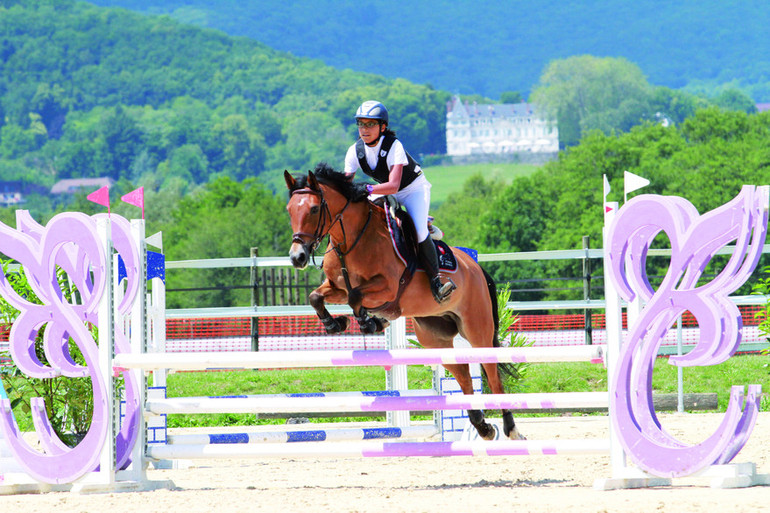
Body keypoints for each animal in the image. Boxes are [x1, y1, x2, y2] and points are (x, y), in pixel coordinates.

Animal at [284, 164, 524, 440]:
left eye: (314, 209)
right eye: (290, 209)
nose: (298, 257)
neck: (353, 238)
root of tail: (474, 266)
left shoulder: (386, 287)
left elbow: (357, 298)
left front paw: (368, 322)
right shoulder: (338, 287)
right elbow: (317, 296)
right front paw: (336, 324)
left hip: (477, 329)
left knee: (493, 375)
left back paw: (510, 428)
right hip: (434, 337)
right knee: (463, 374)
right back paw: (482, 426)